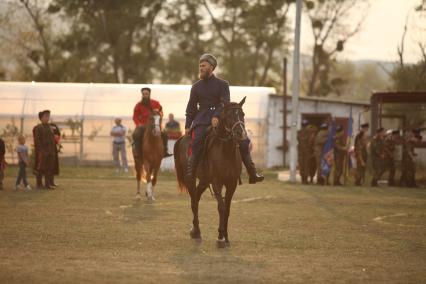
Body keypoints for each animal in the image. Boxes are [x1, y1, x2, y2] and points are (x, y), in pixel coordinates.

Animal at [173, 98, 246, 248]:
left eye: (243, 114)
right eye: (229, 116)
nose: (240, 133)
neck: (226, 151)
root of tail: (184, 137)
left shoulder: (231, 184)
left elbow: (227, 209)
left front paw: (225, 236)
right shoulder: (217, 183)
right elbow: (221, 207)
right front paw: (221, 237)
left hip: (204, 180)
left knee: (196, 197)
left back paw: (195, 230)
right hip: (191, 179)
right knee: (194, 201)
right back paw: (196, 231)